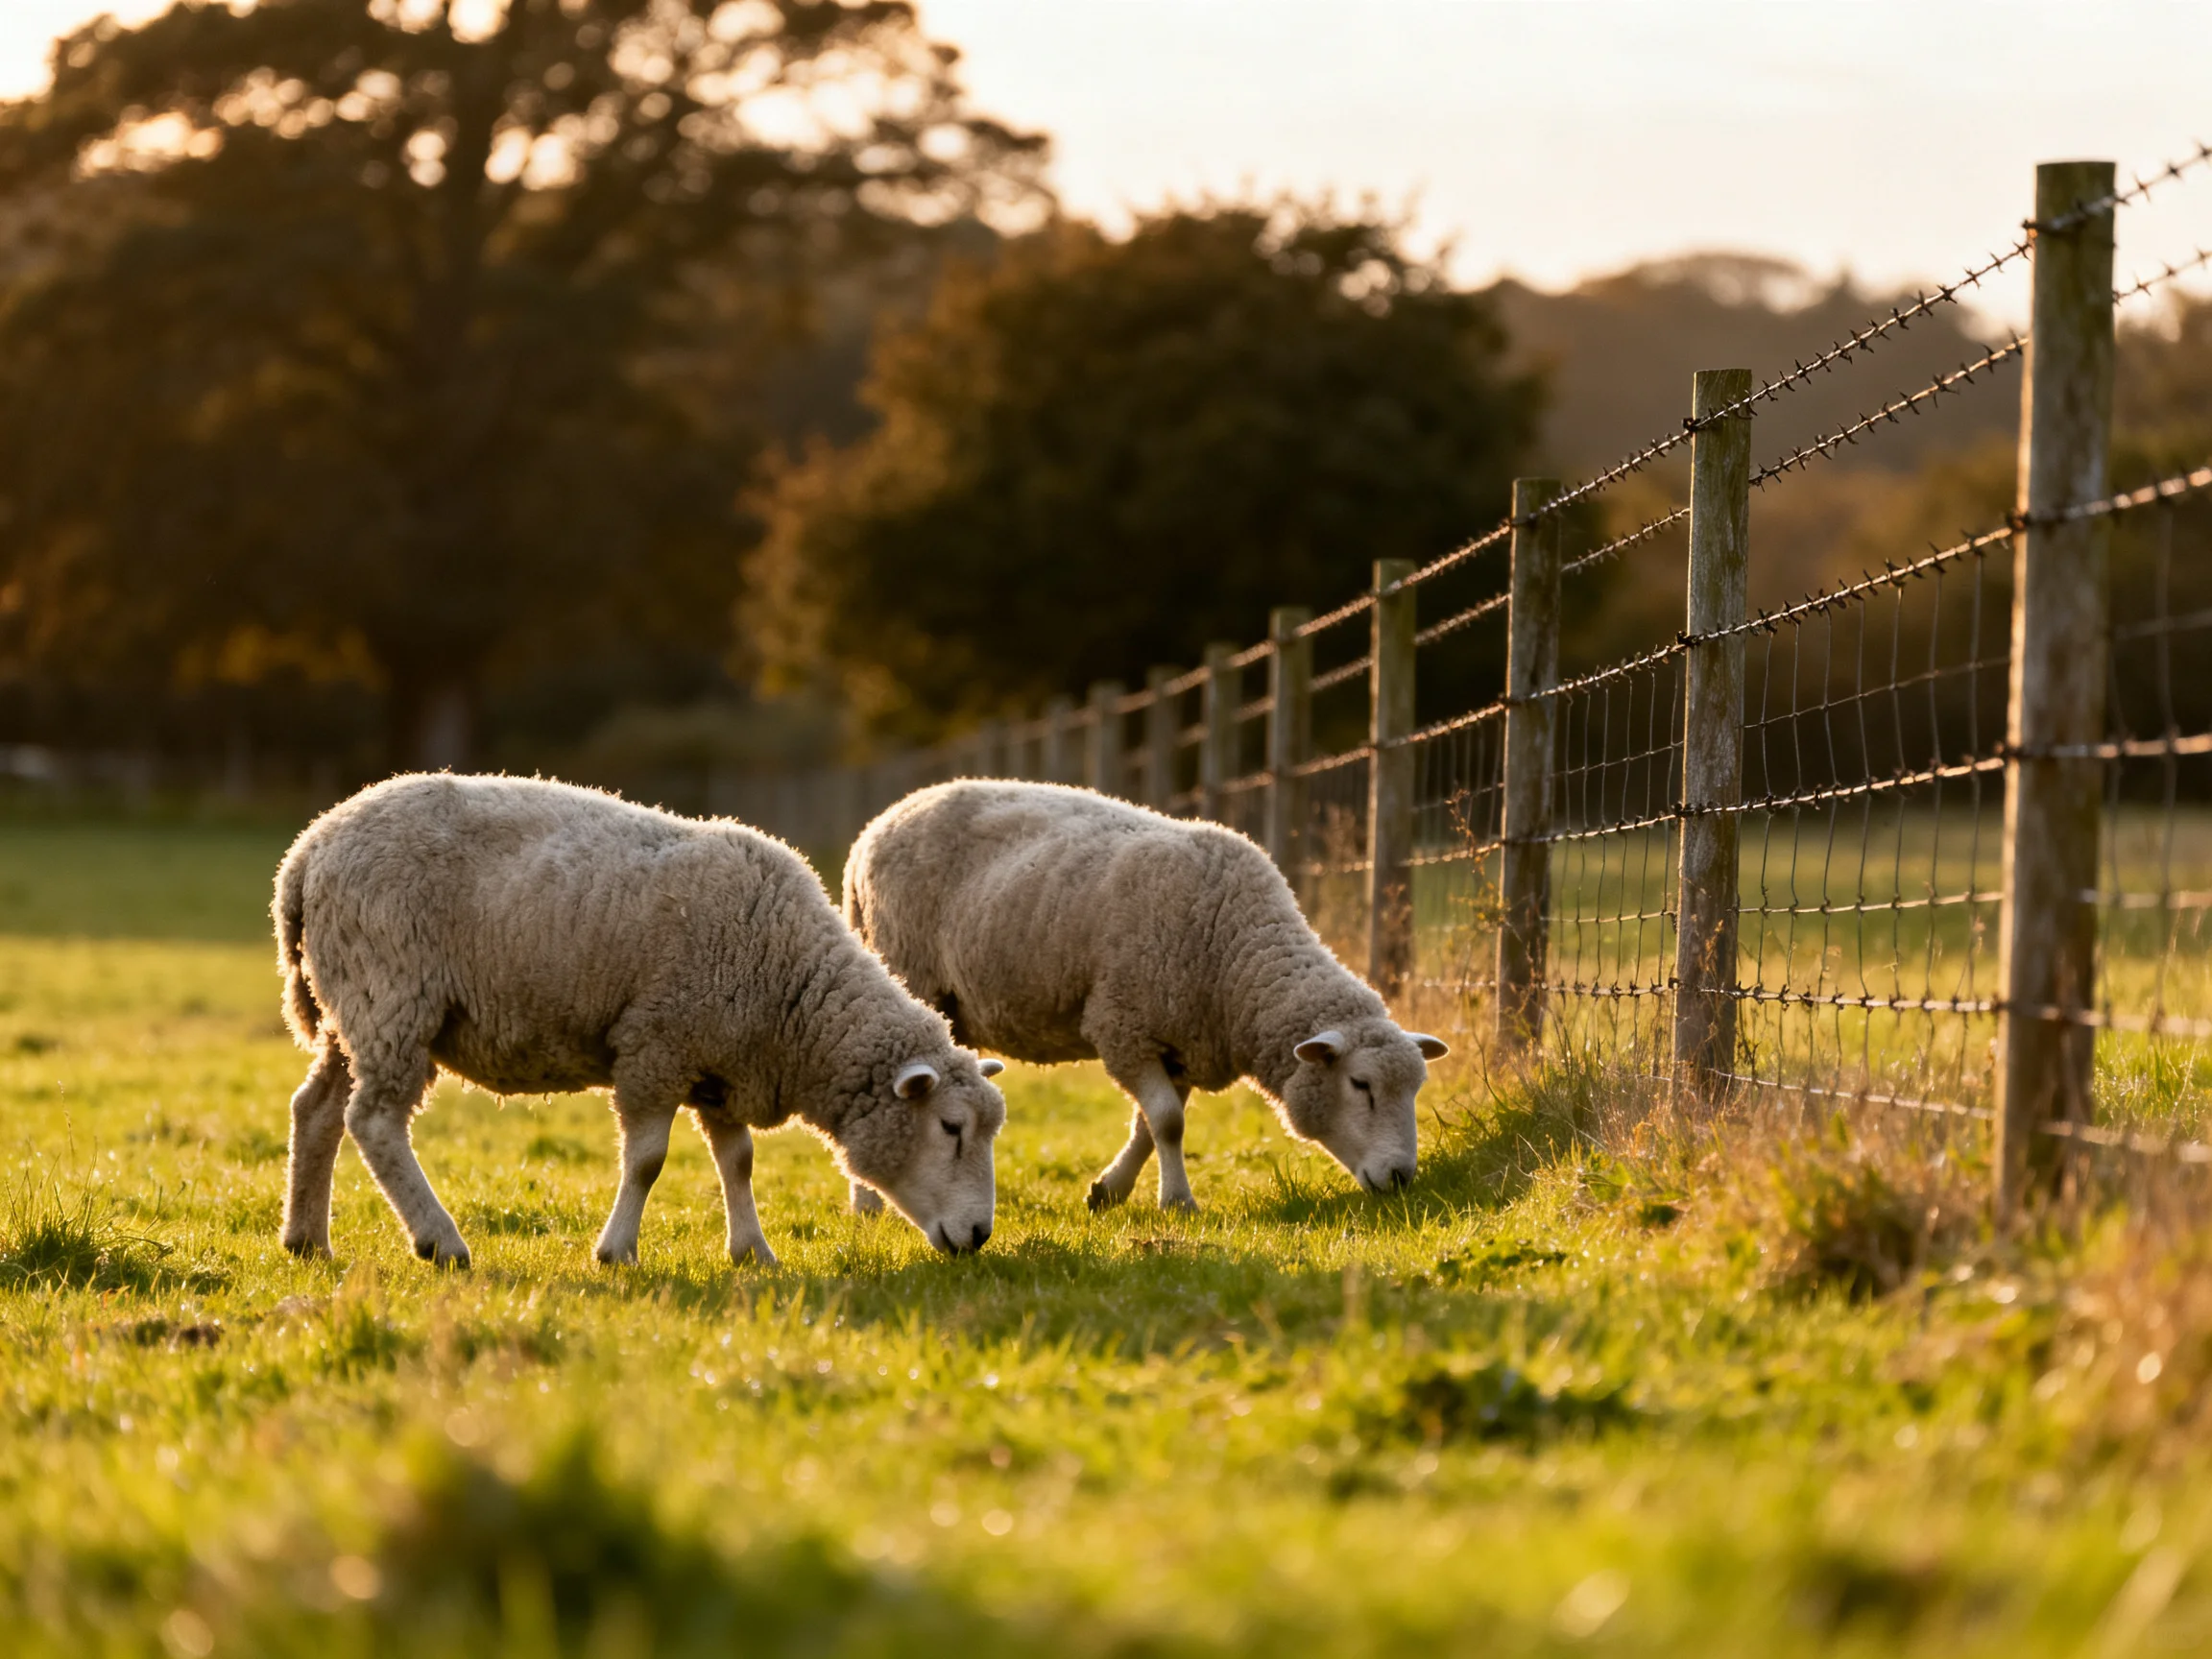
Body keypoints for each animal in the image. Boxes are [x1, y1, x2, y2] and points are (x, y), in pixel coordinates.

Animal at [272, 773, 1006, 1268]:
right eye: (951, 1128)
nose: (978, 1236)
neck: (791, 994)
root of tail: (308, 849)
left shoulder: (721, 1061)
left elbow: (738, 1161)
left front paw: (752, 1251)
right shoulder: (657, 1046)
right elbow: (649, 1161)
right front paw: (617, 1251)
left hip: (353, 1007)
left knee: (317, 1108)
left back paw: (307, 1240)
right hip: (393, 993)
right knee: (374, 1121)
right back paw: (440, 1240)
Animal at [842, 780, 1446, 1213]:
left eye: (1416, 1087)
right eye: (1361, 1085)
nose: (1401, 1178)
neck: (1233, 951)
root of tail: (872, 830)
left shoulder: (1180, 1042)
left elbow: (1149, 1126)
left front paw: (1109, 1191)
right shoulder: (1122, 1026)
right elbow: (1167, 1123)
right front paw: (1177, 1201)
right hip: (904, 971)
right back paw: (869, 1204)